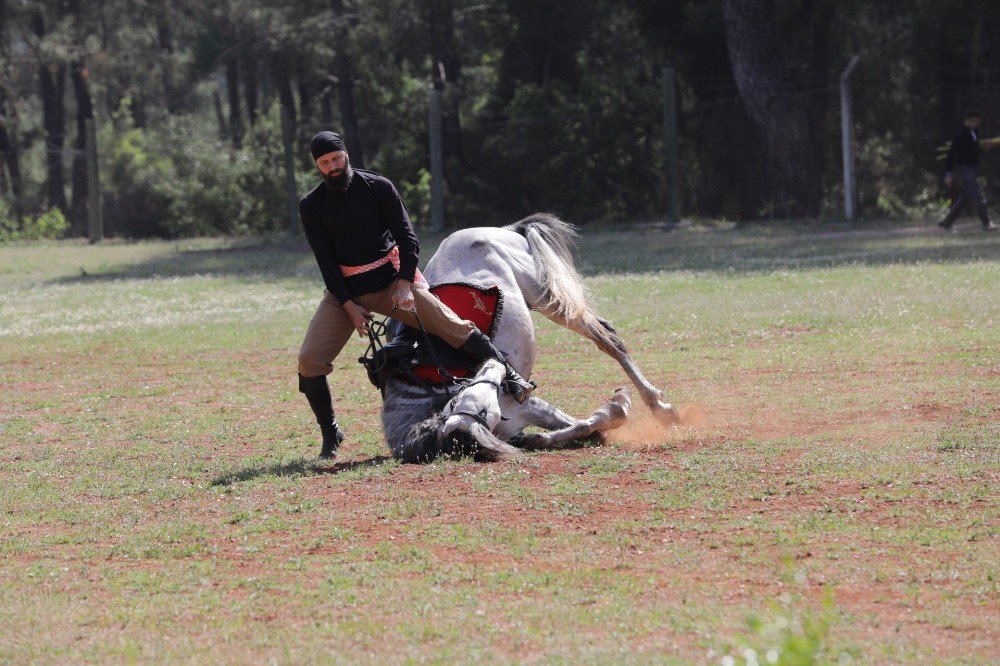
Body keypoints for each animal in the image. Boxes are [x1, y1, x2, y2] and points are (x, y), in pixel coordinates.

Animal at [378, 214, 676, 462]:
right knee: (606, 333)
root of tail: (502, 231)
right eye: (480, 412)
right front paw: (612, 411)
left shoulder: (523, 400)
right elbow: (576, 427)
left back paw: (660, 405)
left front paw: (619, 406)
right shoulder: (525, 409)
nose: (494, 361)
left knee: (608, 341)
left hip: (547, 297)